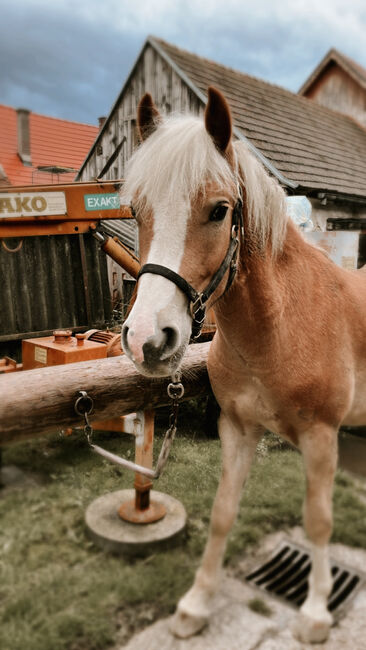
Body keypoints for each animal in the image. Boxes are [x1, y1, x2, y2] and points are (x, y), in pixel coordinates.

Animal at [120, 87, 366, 644]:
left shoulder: (321, 437)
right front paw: (196, 604)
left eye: (219, 210)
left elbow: (319, 521)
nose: (147, 340)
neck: (278, 329)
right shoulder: (236, 429)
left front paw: (315, 613)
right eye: (137, 209)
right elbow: (222, 513)